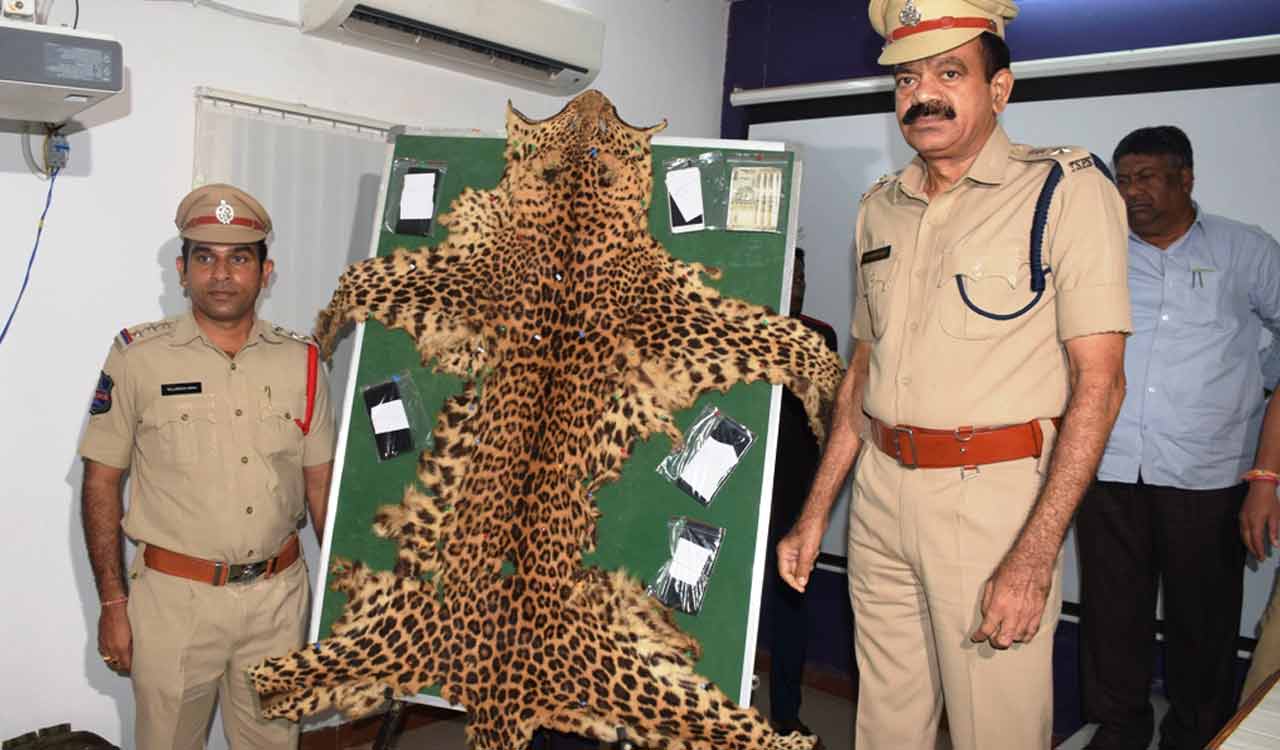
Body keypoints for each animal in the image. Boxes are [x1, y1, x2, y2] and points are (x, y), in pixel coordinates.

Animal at [249, 90, 845, 750]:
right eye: (579, 118)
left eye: (600, 121)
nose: (595, 94)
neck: (573, 213)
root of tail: (495, 693)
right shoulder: (649, 305)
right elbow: (367, 276)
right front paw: (327, 331)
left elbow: (786, 337)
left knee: (271, 676)